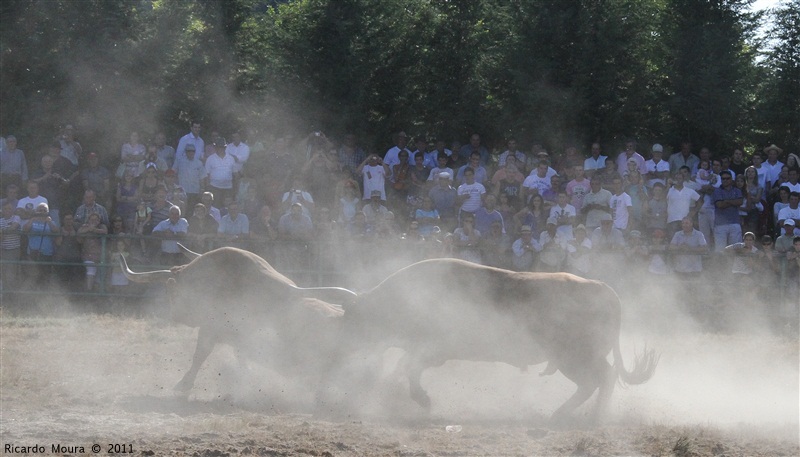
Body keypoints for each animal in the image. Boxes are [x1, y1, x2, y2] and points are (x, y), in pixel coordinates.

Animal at [119, 246, 356, 392]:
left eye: (172, 293)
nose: (176, 315)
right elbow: (238, 357)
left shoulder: (210, 328)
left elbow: (200, 354)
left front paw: (183, 384)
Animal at [328, 258, 660, 422]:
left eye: (352, 319)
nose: (336, 350)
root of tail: (604, 289)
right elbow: (404, 366)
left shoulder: (431, 348)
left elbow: (408, 367)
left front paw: (421, 399)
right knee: (601, 379)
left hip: (575, 357)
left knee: (599, 379)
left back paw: (583, 416)